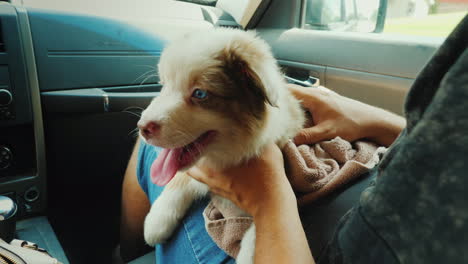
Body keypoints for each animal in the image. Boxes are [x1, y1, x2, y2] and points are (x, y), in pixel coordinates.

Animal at [137, 27, 306, 262]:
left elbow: (263, 223)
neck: (227, 153)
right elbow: (180, 176)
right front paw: (157, 220)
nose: (142, 127)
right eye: (164, 86)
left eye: (200, 93)